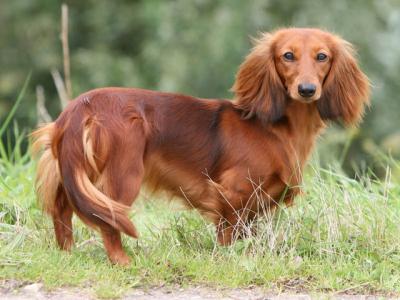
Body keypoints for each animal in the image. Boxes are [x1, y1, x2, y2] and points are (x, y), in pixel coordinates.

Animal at [32, 27, 370, 262]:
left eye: (322, 56)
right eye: (288, 55)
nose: (307, 89)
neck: (276, 129)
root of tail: (81, 107)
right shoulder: (232, 194)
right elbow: (228, 235)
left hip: (72, 172)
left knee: (62, 211)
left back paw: (67, 254)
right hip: (122, 175)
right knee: (109, 220)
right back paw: (122, 260)